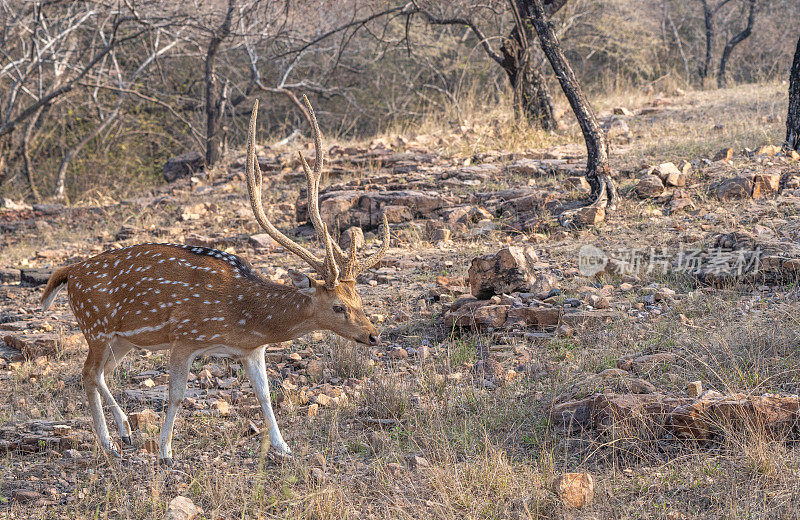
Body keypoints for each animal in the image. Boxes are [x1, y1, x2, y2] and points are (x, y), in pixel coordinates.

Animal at [41, 95, 390, 466]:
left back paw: (125, 431)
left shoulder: (252, 350)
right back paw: (108, 442)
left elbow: (265, 395)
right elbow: (176, 395)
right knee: (88, 374)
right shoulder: (184, 337)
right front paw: (165, 451)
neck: (244, 317)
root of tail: (69, 272)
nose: (374, 335)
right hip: (96, 327)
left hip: (122, 339)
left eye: (360, 300)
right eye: (338, 307)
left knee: (100, 374)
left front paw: (283, 447)